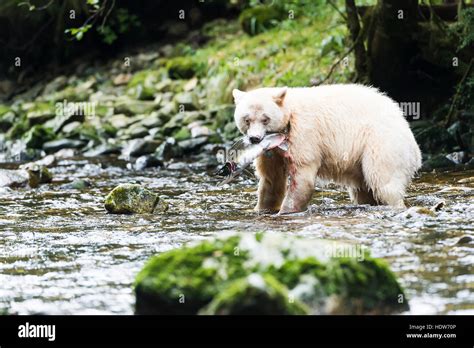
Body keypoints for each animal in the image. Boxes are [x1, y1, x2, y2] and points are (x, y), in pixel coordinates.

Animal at [231, 84, 420, 215]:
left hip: (382, 143)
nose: (255, 138)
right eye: (247, 119)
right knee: (363, 189)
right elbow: (271, 179)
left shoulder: (304, 135)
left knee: (383, 182)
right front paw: (261, 209)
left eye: (265, 119)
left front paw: (286, 211)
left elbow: (302, 176)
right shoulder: (272, 151)